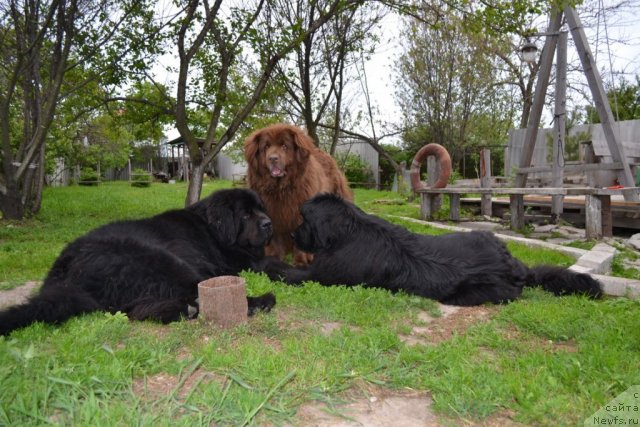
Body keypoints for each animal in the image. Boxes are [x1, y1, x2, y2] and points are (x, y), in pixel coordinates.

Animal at [2, 189, 278, 336]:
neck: (213, 229)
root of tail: (65, 272)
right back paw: (259, 301)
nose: (268, 224)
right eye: (245, 214)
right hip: (159, 259)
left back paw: (186, 309)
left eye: (262, 209)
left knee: (138, 310)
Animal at [245, 123, 356, 264]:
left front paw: (301, 261)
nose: (272, 158)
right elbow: (274, 238)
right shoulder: (272, 213)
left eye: (284, 146)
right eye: (266, 147)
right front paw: (273, 258)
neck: (280, 189)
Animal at [262, 194, 604, 308]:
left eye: (304, 220)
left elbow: (284, 271)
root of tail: (515, 267)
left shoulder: (319, 275)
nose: (292, 234)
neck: (347, 231)